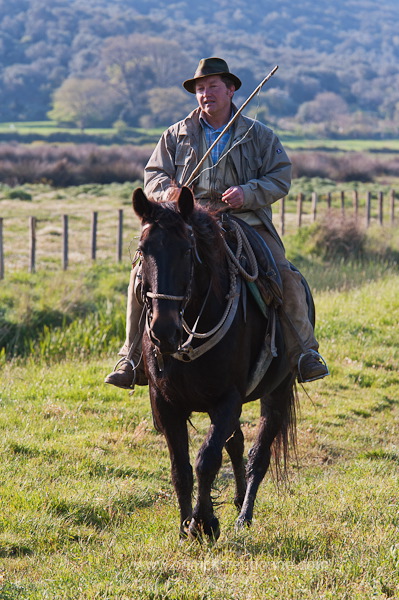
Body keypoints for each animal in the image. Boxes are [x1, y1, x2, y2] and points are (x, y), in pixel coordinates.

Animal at [134, 186, 310, 540]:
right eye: (143, 250)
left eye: (187, 250)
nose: (163, 330)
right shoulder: (165, 404)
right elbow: (181, 467)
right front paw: (185, 525)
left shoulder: (227, 400)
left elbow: (207, 459)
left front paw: (203, 523)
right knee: (237, 444)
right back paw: (239, 500)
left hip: (278, 392)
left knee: (259, 454)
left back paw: (244, 515)